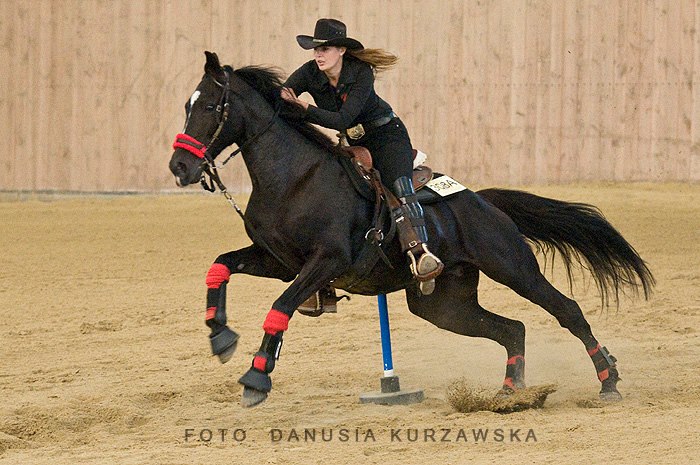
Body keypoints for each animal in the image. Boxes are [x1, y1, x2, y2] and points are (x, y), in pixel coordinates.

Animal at [170, 51, 656, 406]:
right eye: (186, 105)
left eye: (210, 105)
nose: (180, 166)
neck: (295, 178)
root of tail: (483, 201)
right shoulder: (279, 261)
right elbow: (219, 266)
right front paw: (220, 336)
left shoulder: (326, 261)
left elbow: (280, 307)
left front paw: (255, 378)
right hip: (443, 304)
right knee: (512, 328)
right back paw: (509, 394)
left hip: (514, 267)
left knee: (567, 311)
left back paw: (608, 379)